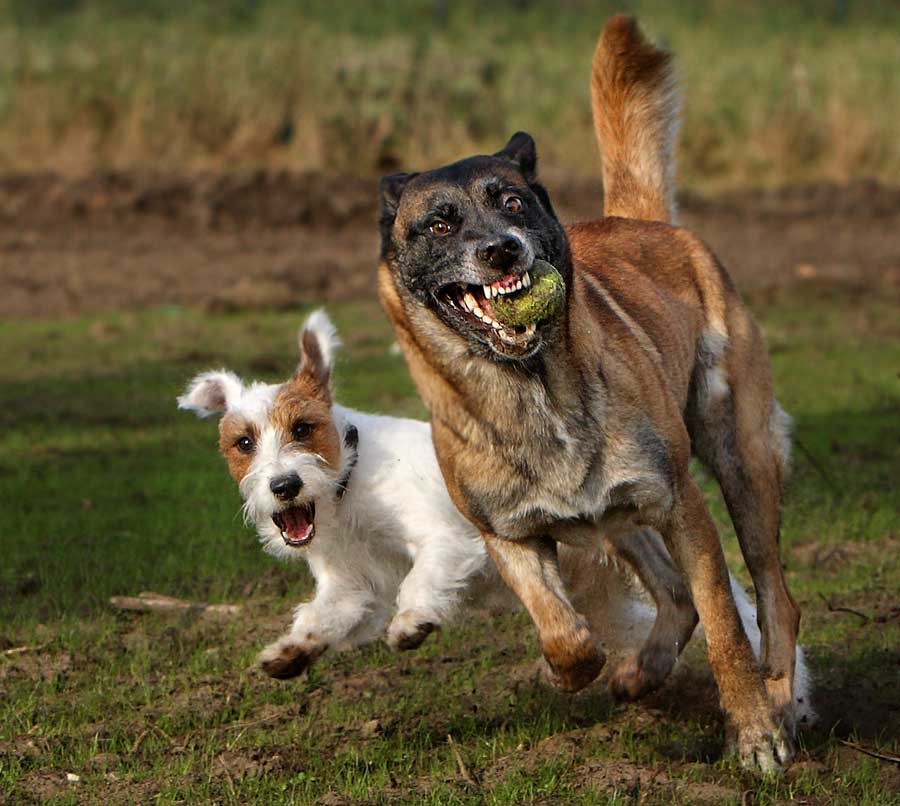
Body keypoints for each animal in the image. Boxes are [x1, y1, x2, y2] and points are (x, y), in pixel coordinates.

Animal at [178, 310, 816, 724]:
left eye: (304, 427)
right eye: (242, 442)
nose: (283, 487)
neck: (350, 483)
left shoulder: (445, 539)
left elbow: (422, 578)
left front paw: (411, 622)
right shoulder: (348, 585)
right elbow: (323, 618)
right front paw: (290, 654)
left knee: (737, 610)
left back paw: (787, 698)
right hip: (601, 590)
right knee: (658, 615)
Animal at [376, 12, 800, 772]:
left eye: (512, 201)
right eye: (441, 223)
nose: (503, 250)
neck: (532, 393)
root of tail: (642, 220)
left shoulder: (681, 505)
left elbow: (726, 625)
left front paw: (753, 735)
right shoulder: (510, 534)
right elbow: (562, 631)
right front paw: (574, 668)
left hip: (739, 460)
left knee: (773, 594)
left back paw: (777, 698)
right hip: (618, 520)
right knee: (672, 593)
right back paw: (643, 670)